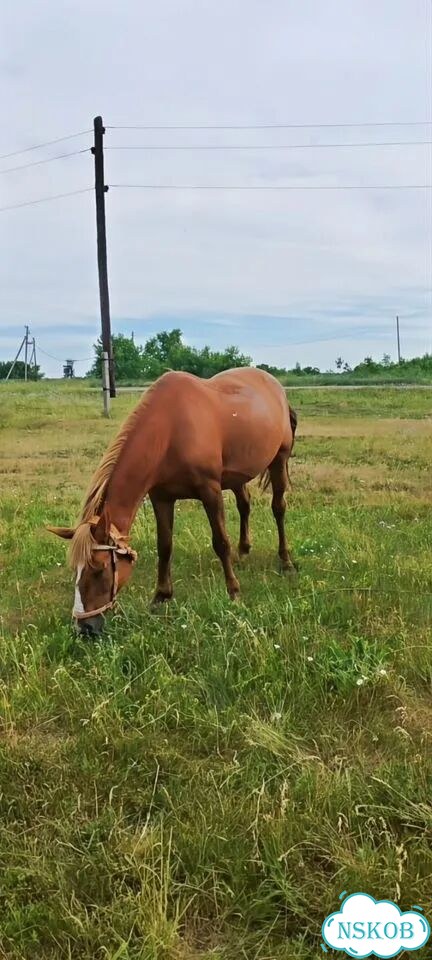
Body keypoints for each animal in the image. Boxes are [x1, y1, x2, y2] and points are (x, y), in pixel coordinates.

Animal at [48, 367, 298, 636]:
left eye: (99, 569)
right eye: (75, 569)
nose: (85, 628)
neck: (170, 432)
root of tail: (277, 387)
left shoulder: (210, 491)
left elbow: (220, 542)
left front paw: (234, 592)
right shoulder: (162, 498)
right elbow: (164, 546)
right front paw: (161, 596)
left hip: (279, 461)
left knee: (278, 508)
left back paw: (286, 561)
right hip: (237, 475)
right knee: (245, 505)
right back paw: (243, 552)